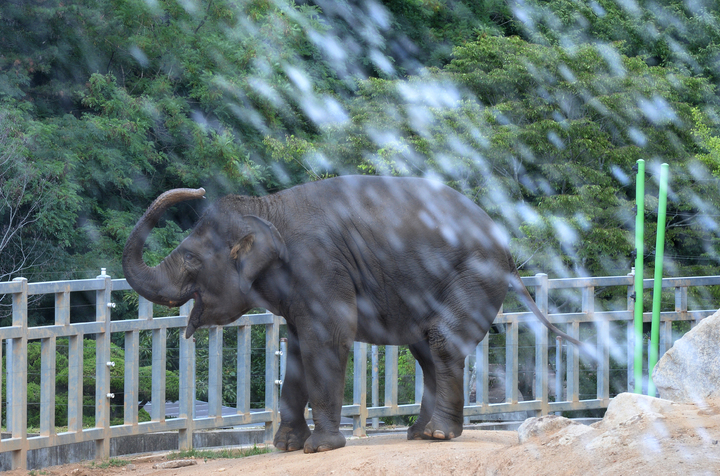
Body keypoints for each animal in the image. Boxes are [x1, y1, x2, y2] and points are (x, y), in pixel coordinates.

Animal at [122, 174, 580, 454]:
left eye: (191, 260)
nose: (196, 190)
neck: (266, 208)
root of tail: (508, 251)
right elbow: (297, 347)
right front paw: (286, 447)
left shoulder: (321, 267)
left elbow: (327, 340)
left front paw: (320, 448)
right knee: (426, 349)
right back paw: (418, 434)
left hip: (473, 277)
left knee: (441, 343)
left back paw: (437, 435)